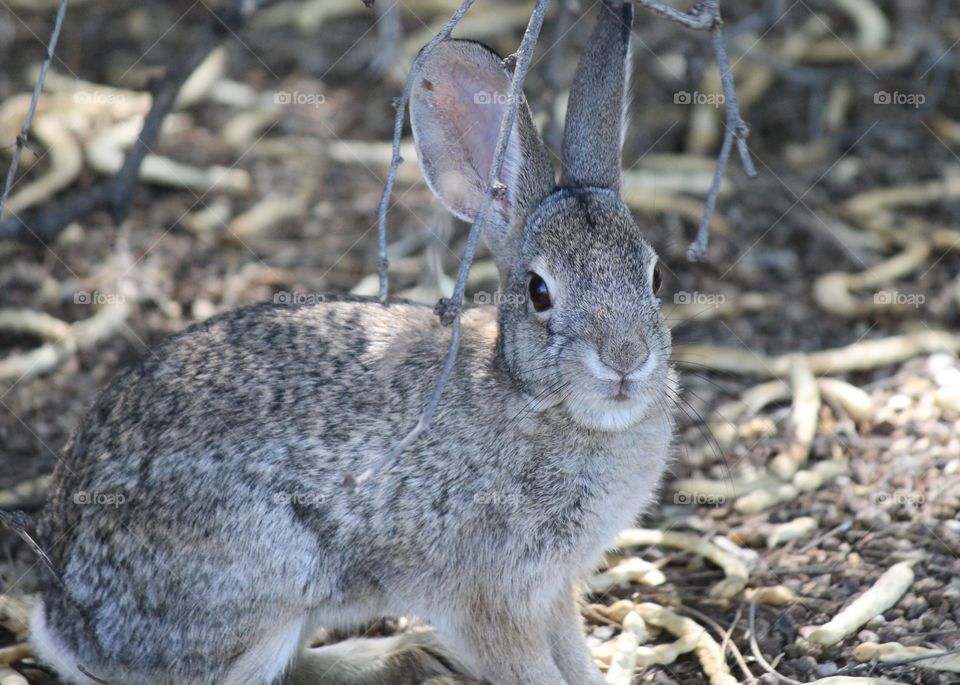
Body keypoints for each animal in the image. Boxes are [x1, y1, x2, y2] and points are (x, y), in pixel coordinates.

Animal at [26, 1, 675, 684]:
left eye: (656, 277)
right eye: (539, 292)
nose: (627, 359)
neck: (533, 399)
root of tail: (60, 619)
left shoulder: (552, 594)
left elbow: (574, 656)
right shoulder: (491, 600)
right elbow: (530, 668)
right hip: (265, 592)